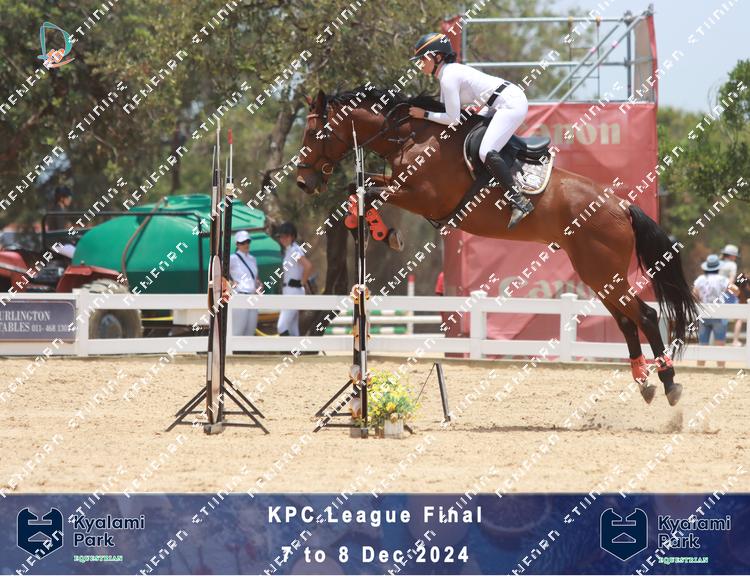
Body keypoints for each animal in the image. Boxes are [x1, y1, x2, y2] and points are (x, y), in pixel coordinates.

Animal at [295, 86, 699, 406]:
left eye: (314, 131)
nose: (302, 182)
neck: (412, 136)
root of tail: (621, 205)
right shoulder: (399, 185)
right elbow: (358, 190)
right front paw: (373, 230)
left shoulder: (421, 196)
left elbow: (365, 191)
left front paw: (384, 233)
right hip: (597, 274)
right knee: (627, 320)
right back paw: (644, 381)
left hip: (603, 270)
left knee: (645, 316)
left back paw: (669, 383)